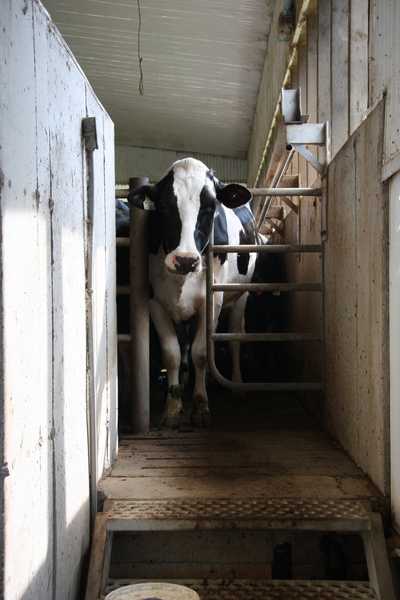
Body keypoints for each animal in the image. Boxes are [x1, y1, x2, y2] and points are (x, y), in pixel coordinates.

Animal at [128, 157, 264, 427]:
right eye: (164, 206)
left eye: (210, 207)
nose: (185, 260)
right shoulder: (155, 301)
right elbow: (172, 353)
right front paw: (173, 408)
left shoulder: (212, 300)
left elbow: (202, 352)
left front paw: (200, 405)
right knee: (185, 346)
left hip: (240, 296)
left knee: (234, 337)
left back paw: (236, 384)